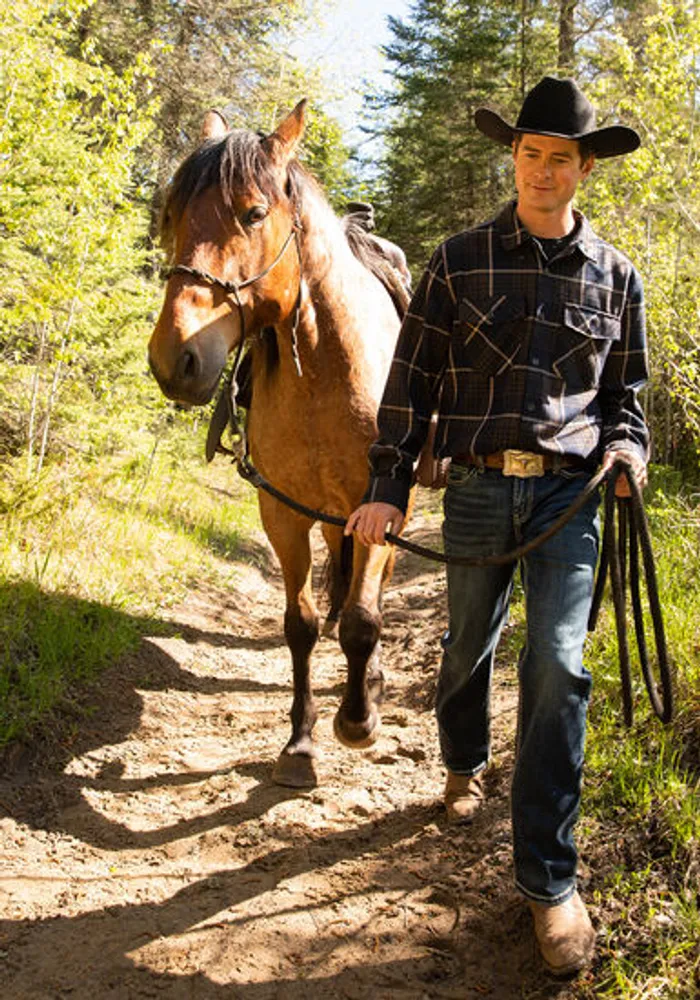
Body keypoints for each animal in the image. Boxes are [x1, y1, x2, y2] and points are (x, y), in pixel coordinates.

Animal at [148, 101, 410, 788]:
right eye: (173, 214)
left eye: (253, 213)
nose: (174, 360)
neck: (325, 369)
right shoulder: (283, 512)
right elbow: (303, 625)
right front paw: (300, 742)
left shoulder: (378, 509)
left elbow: (363, 619)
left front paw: (358, 719)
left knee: (372, 595)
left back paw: (372, 685)